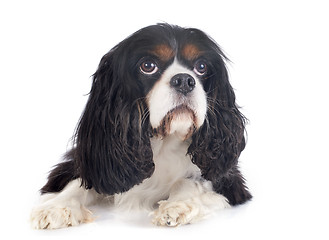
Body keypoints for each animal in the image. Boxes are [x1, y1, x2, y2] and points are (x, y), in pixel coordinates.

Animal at [31, 23, 251, 229]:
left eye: (202, 67)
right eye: (148, 65)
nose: (184, 80)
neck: (163, 142)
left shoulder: (228, 179)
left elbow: (191, 179)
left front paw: (177, 206)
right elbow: (79, 184)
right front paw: (57, 207)